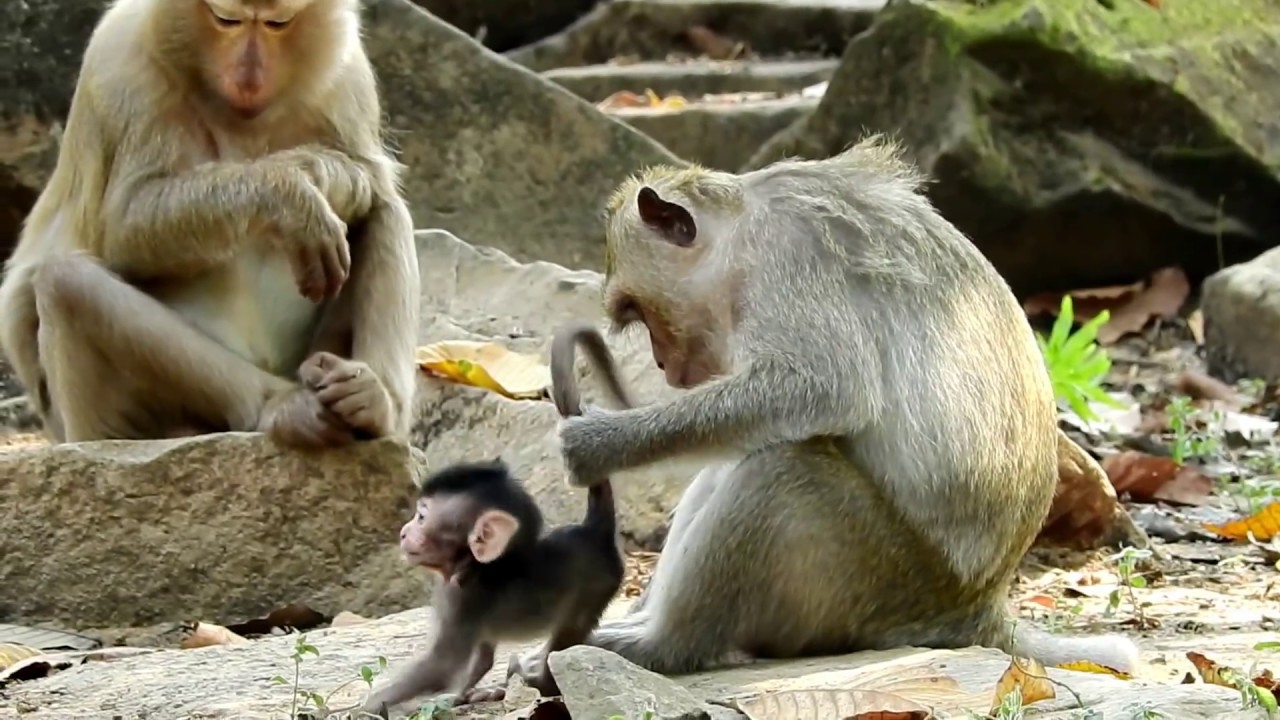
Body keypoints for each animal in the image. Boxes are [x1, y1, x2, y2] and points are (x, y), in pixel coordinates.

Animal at [0, 0, 419, 448]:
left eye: (278, 24)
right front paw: (292, 194)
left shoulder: (348, 75)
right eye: (226, 19)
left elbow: (370, 179)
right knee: (65, 281)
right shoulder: (122, 65)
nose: (248, 77)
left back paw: (373, 401)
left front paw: (324, 172)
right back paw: (277, 405)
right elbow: (125, 225)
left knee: (384, 211)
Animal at [358, 325, 632, 717]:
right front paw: (463, 695)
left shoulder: (464, 602)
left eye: (422, 516)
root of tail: (594, 529)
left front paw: (364, 706)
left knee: (567, 637)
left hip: (597, 586)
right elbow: (481, 658)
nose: (405, 532)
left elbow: (441, 665)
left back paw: (543, 680)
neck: (469, 566)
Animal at [551, 136, 1142, 677]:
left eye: (637, 310)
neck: (742, 227)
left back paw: (666, 644)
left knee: (780, 465)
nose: (662, 365)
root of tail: (979, 609)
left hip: (883, 579)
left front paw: (599, 442)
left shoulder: (787, 254)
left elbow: (824, 387)